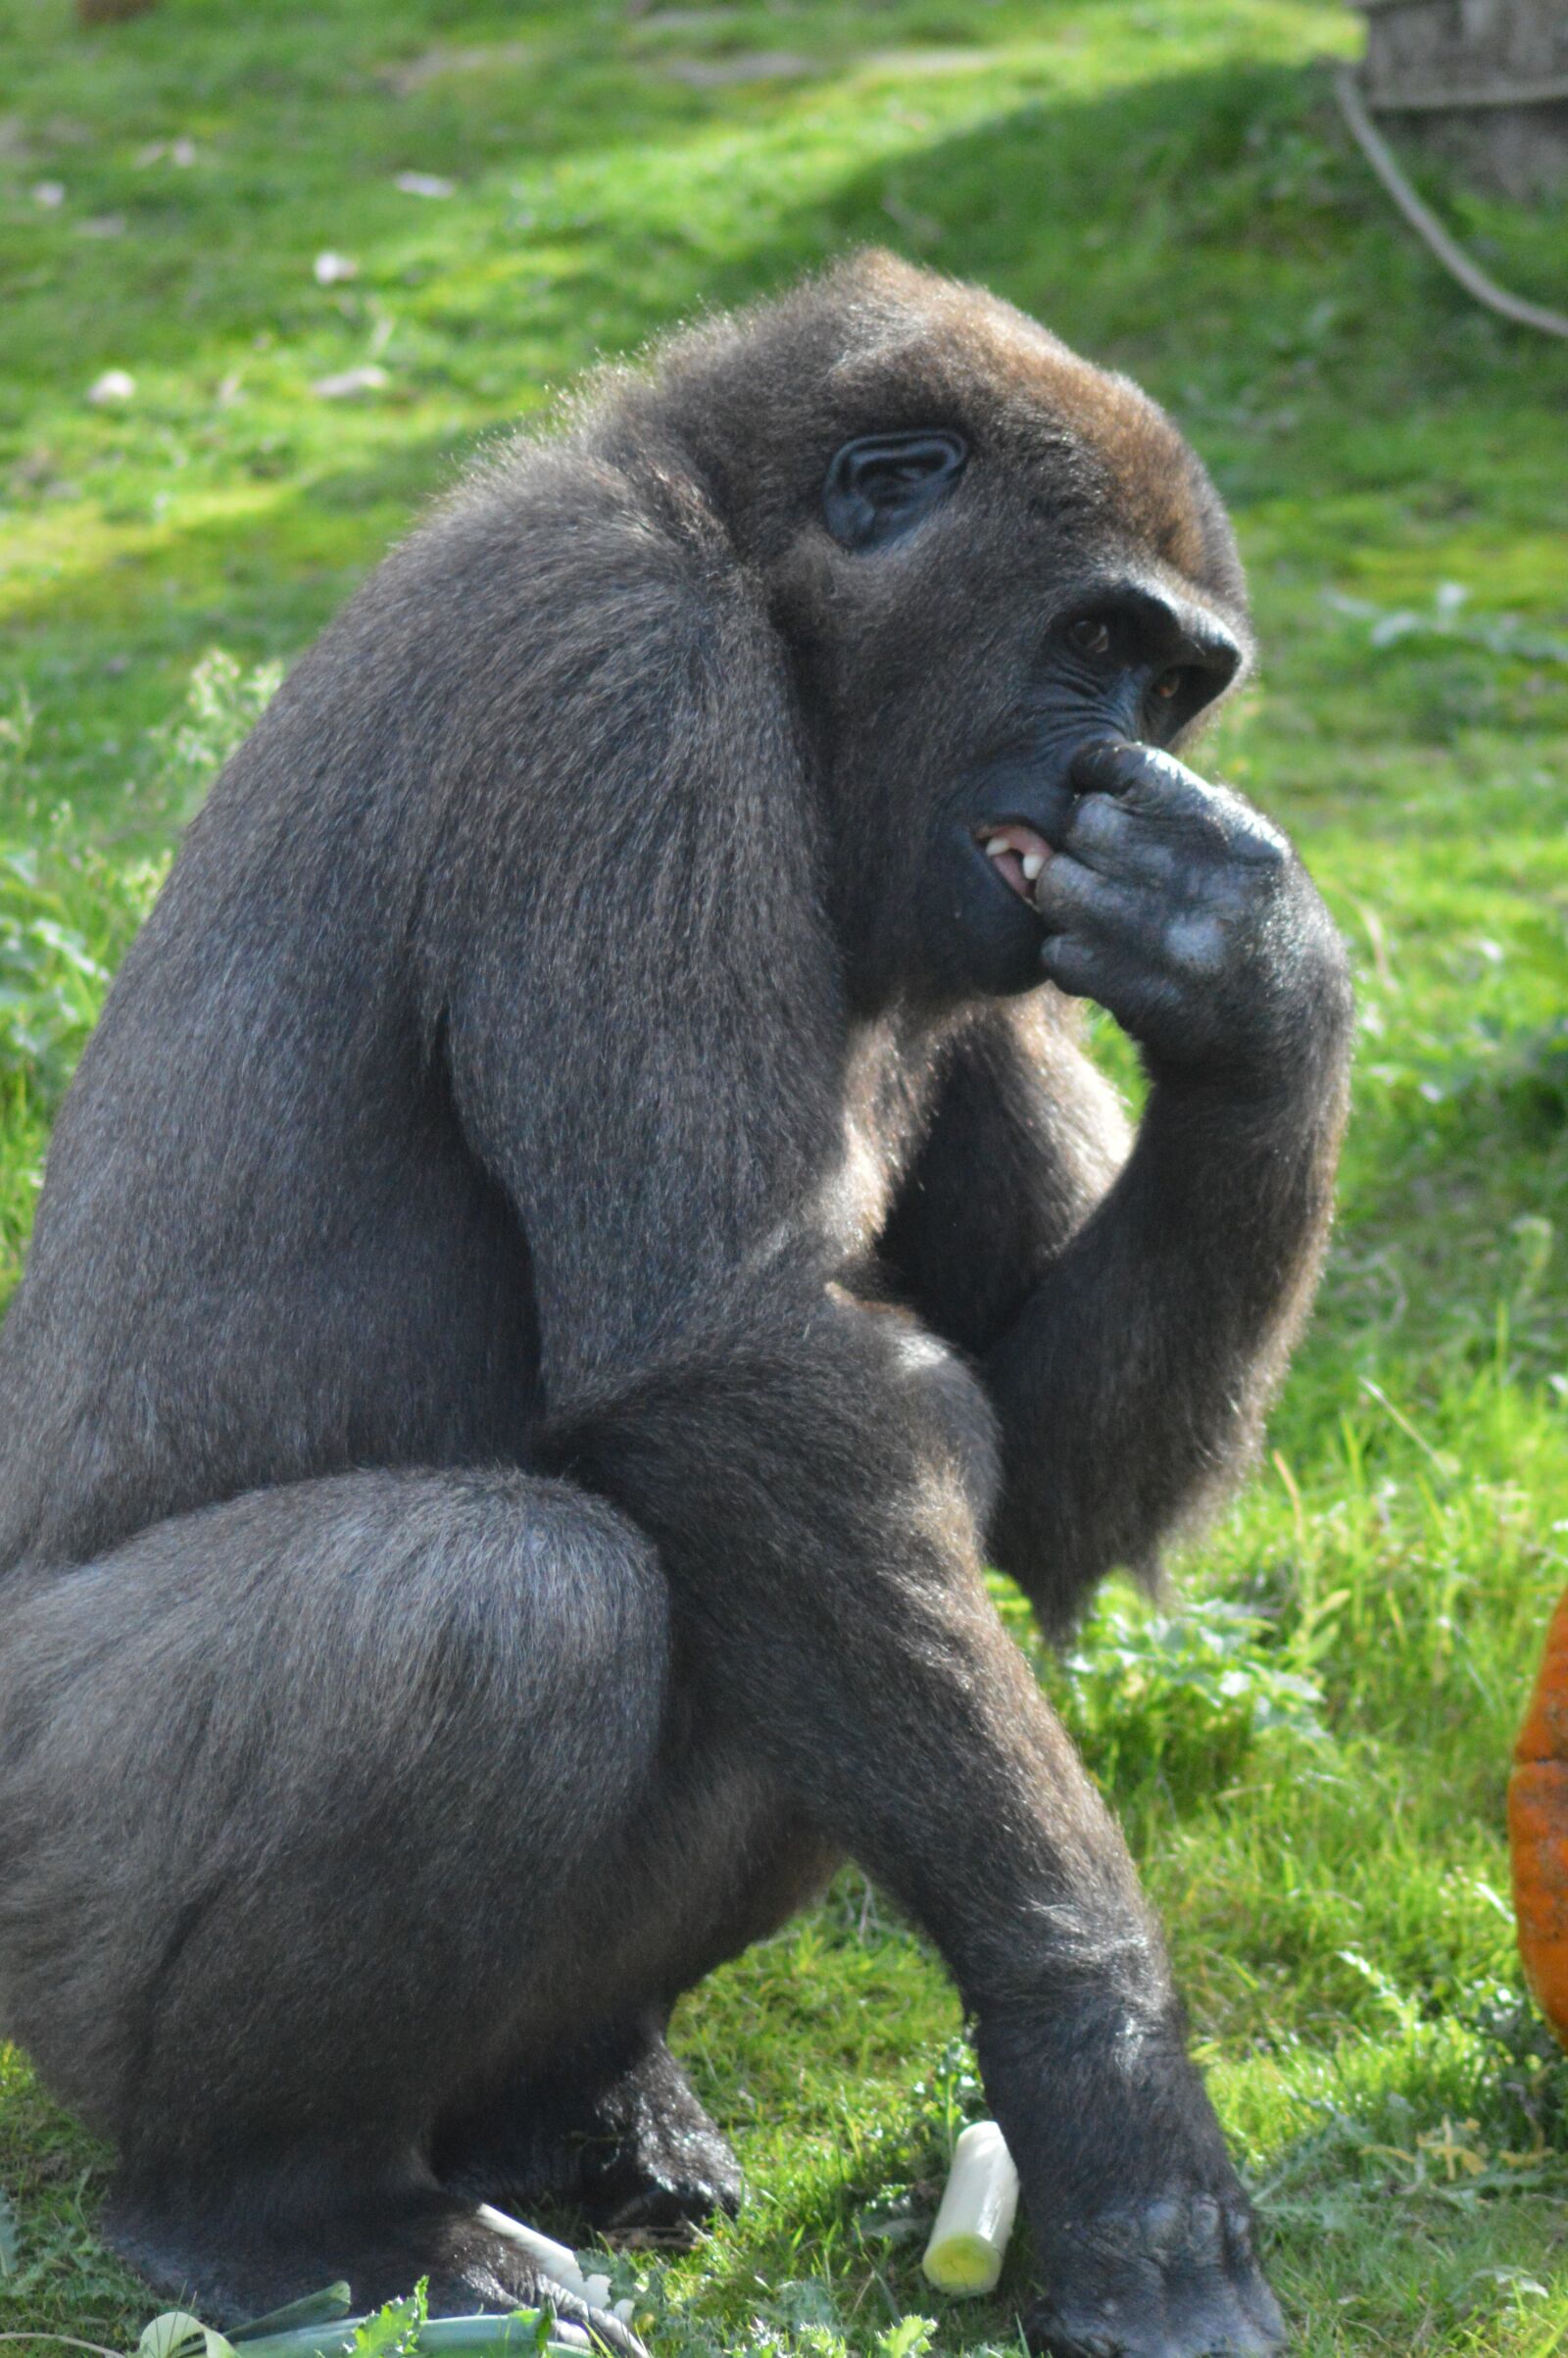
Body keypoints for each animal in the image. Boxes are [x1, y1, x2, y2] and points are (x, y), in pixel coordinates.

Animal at [0, 253, 1352, 2357]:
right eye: (1098, 640)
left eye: (1174, 686)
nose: (1116, 767)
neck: (751, 562)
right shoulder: (625, 681)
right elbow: (735, 1381)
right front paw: (1110, 2086)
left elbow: (1025, 1489)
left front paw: (1254, 978)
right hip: (32, 1891)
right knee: (507, 1599)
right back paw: (280, 2204)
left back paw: (573, 2095)